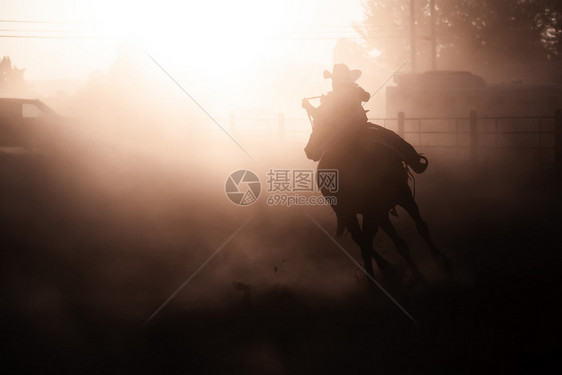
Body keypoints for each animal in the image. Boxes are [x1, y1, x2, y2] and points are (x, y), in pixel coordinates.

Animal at [304, 119, 444, 280]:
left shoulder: (382, 210)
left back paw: (378, 269)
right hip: (375, 209)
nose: (309, 150)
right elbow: (420, 227)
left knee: (362, 241)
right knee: (367, 241)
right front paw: (437, 258)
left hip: (353, 213)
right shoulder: (403, 197)